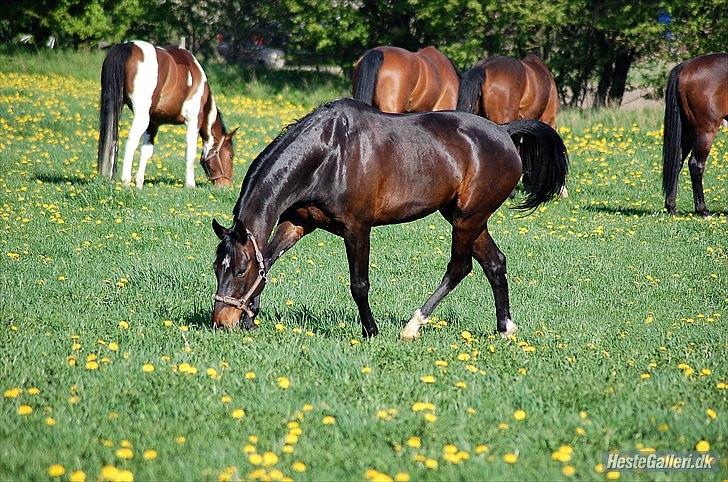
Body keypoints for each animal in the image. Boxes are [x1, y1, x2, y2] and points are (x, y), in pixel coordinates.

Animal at [96, 40, 237, 188]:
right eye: (230, 155)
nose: (227, 185)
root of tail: (127, 46)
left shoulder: (153, 123)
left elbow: (146, 152)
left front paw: (139, 184)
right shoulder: (193, 121)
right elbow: (190, 152)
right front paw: (190, 184)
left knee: (112, 140)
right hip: (141, 117)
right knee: (131, 142)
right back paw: (125, 181)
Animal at [210, 98, 568, 338]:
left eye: (239, 269)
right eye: (216, 268)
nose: (221, 321)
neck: (328, 153)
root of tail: (504, 132)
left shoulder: (357, 229)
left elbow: (359, 284)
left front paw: (371, 330)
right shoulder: (299, 223)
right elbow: (268, 262)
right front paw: (251, 317)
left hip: (468, 218)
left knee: (460, 267)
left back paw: (412, 326)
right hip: (465, 217)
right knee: (495, 263)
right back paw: (505, 328)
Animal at [664, 52, 724, 215]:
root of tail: (686, 66)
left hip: (689, 131)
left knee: (677, 162)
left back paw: (671, 207)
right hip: (705, 131)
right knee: (696, 165)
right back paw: (703, 210)